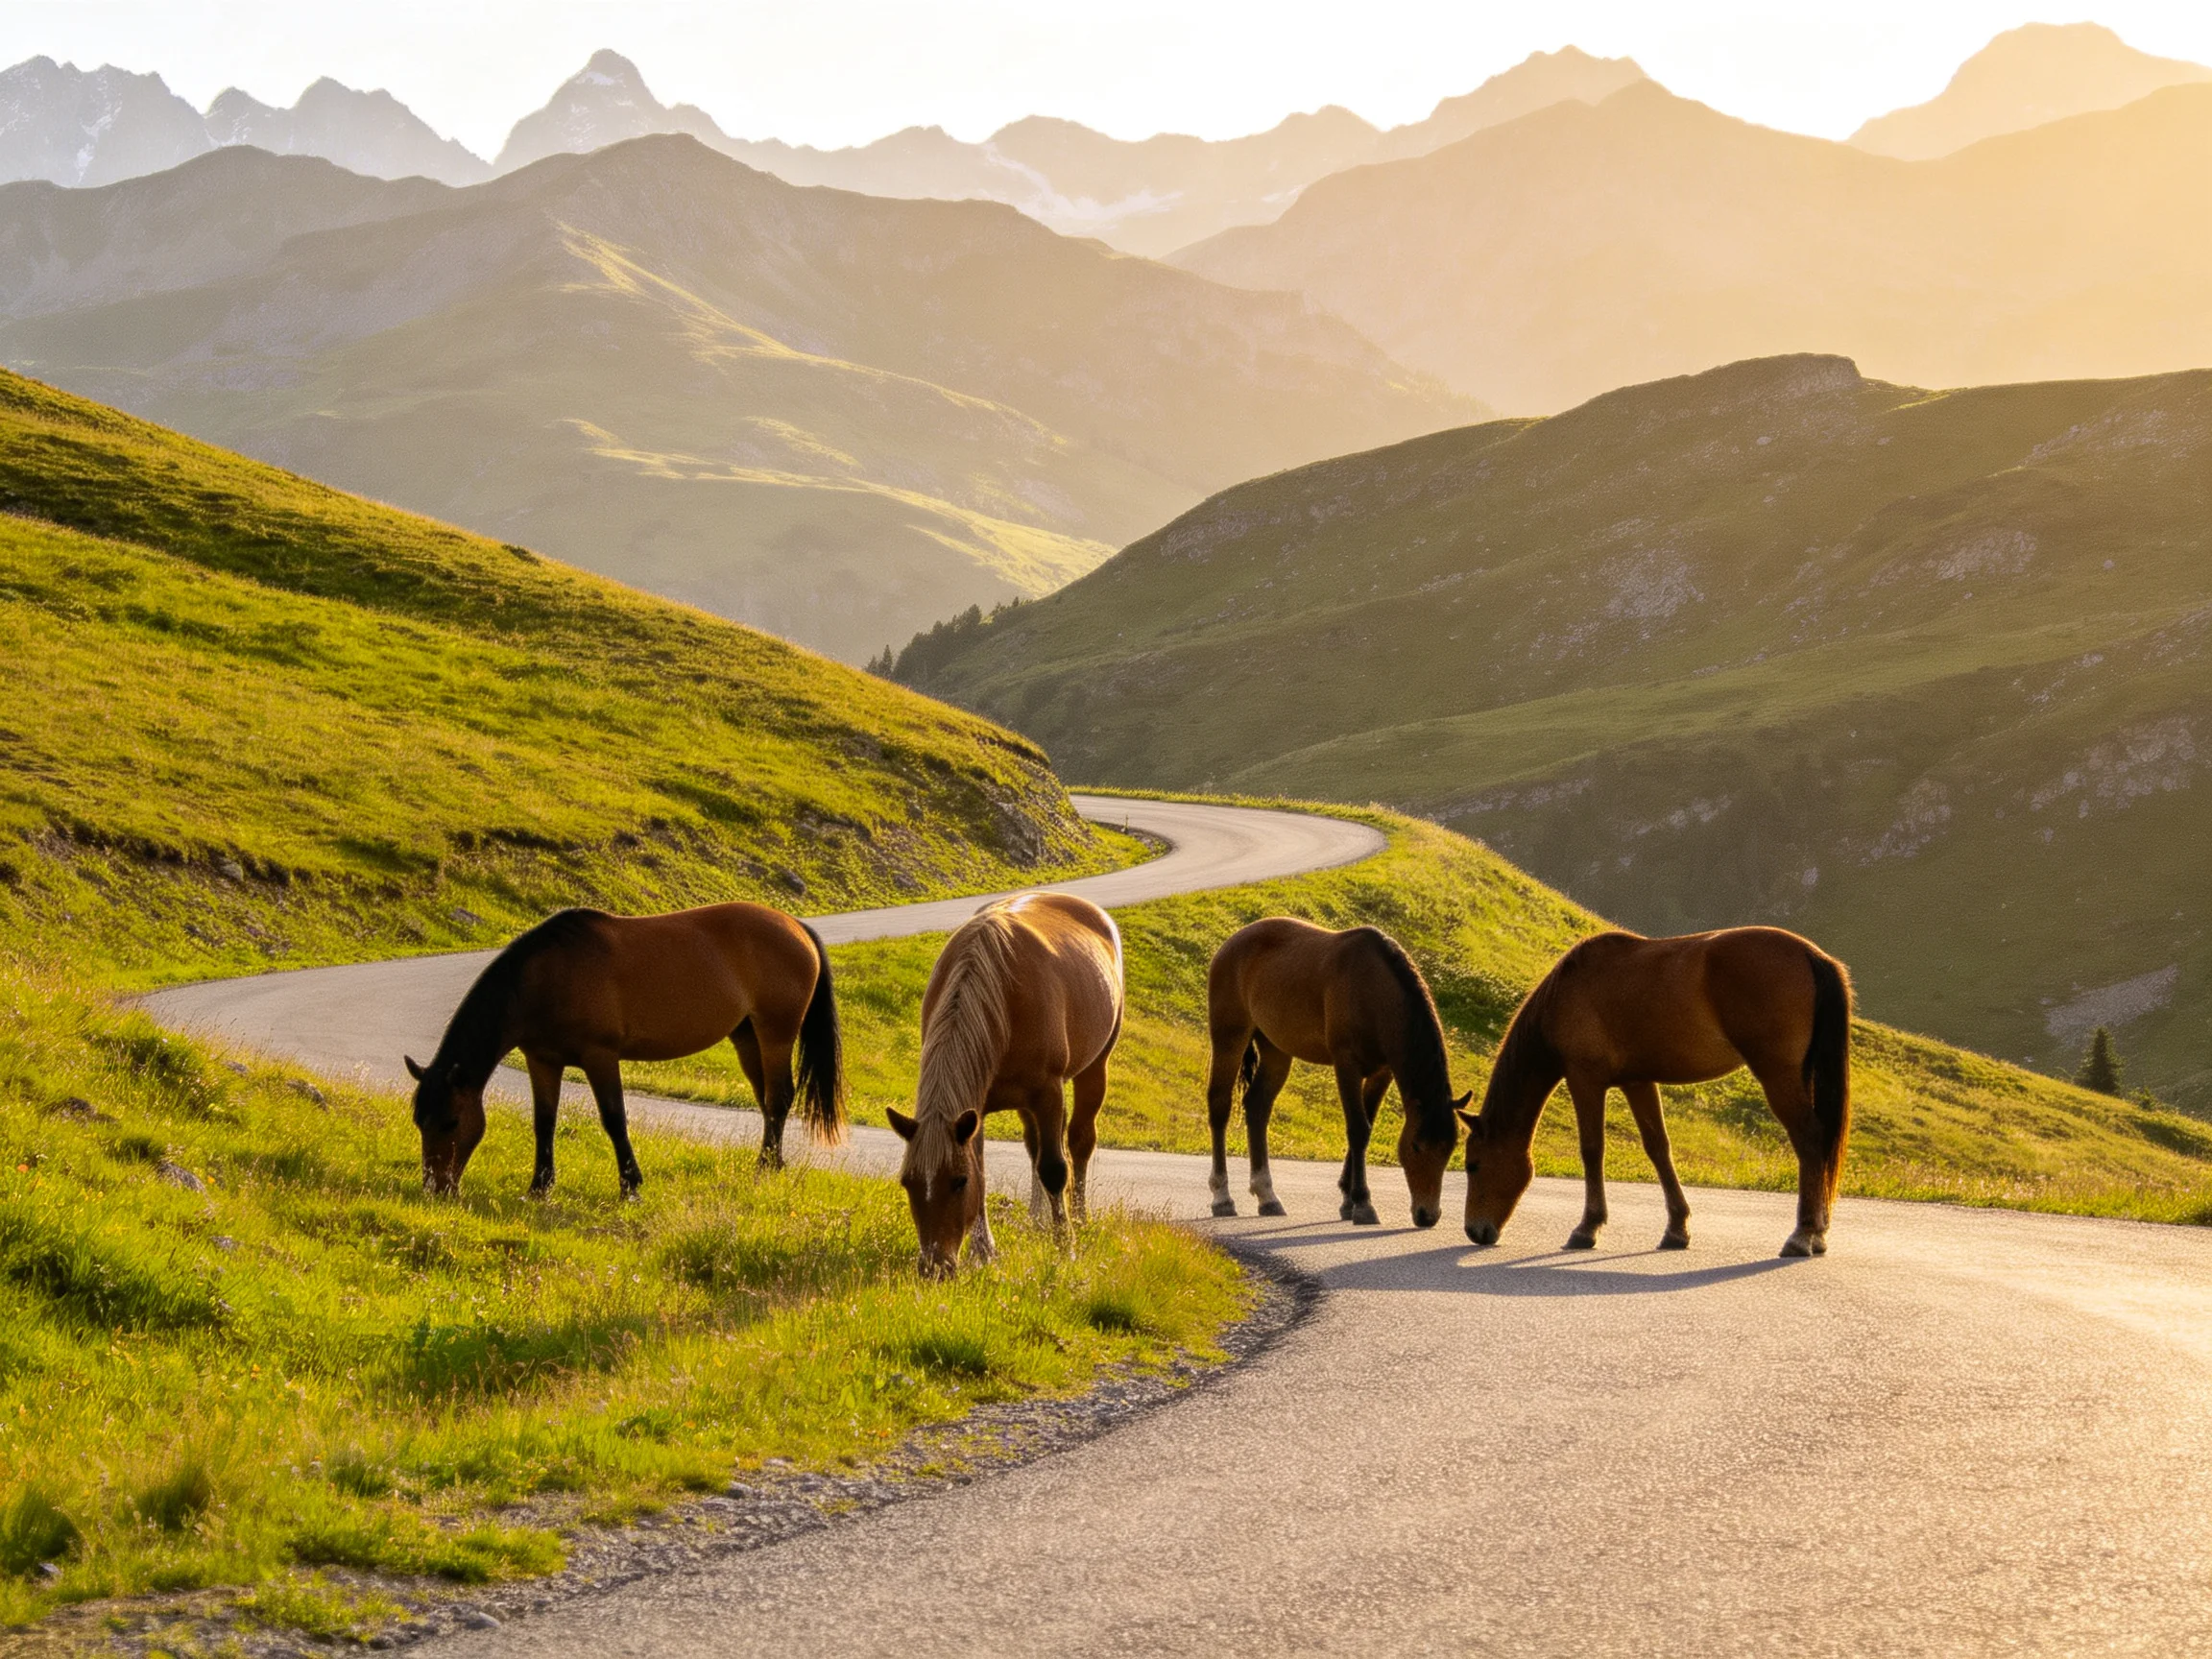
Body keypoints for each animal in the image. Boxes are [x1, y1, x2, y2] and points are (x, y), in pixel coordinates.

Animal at [404, 902, 843, 1197]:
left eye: (452, 1122)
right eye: (420, 1122)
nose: (436, 1188)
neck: (546, 978)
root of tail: (795, 926)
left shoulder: (600, 1057)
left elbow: (614, 1119)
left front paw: (630, 1184)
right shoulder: (542, 1061)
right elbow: (544, 1121)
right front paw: (539, 1187)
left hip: (775, 1034)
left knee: (779, 1098)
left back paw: (765, 1167)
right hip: (746, 1036)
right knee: (767, 1101)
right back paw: (773, 1163)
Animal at [886, 892, 1123, 1277]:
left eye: (958, 1182)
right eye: (908, 1182)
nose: (935, 1266)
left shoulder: (1048, 1092)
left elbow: (1054, 1168)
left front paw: (1065, 1245)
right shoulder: (975, 1110)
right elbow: (989, 1169)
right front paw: (983, 1250)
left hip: (1093, 1069)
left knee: (1079, 1142)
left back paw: (1079, 1218)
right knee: (1035, 1147)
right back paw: (1039, 1220)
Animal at [1204, 918, 1470, 1229]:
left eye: (1450, 1147)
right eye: (1416, 1146)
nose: (1428, 1215)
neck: (1374, 990)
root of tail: (1231, 944)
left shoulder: (1382, 1072)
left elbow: (1366, 1127)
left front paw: (1348, 1199)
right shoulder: (1347, 1065)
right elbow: (1358, 1128)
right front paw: (1363, 1203)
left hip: (1275, 1050)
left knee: (1257, 1107)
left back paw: (1267, 1195)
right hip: (1229, 1036)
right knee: (1219, 1106)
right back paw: (1222, 1197)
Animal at [1460, 926, 1852, 1259]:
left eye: (1473, 1165)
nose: (1475, 1231)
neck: (1568, 991)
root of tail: (1811, 954)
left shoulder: (1585, 1080)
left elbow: (1592, 1150)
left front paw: (1587, 1228)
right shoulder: (1638, 1082)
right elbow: (1658, 1148)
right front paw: (1677, 1228)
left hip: (1778, 1075)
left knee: (1809, 1138)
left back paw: (1803, 1234)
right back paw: (1818, 1234)